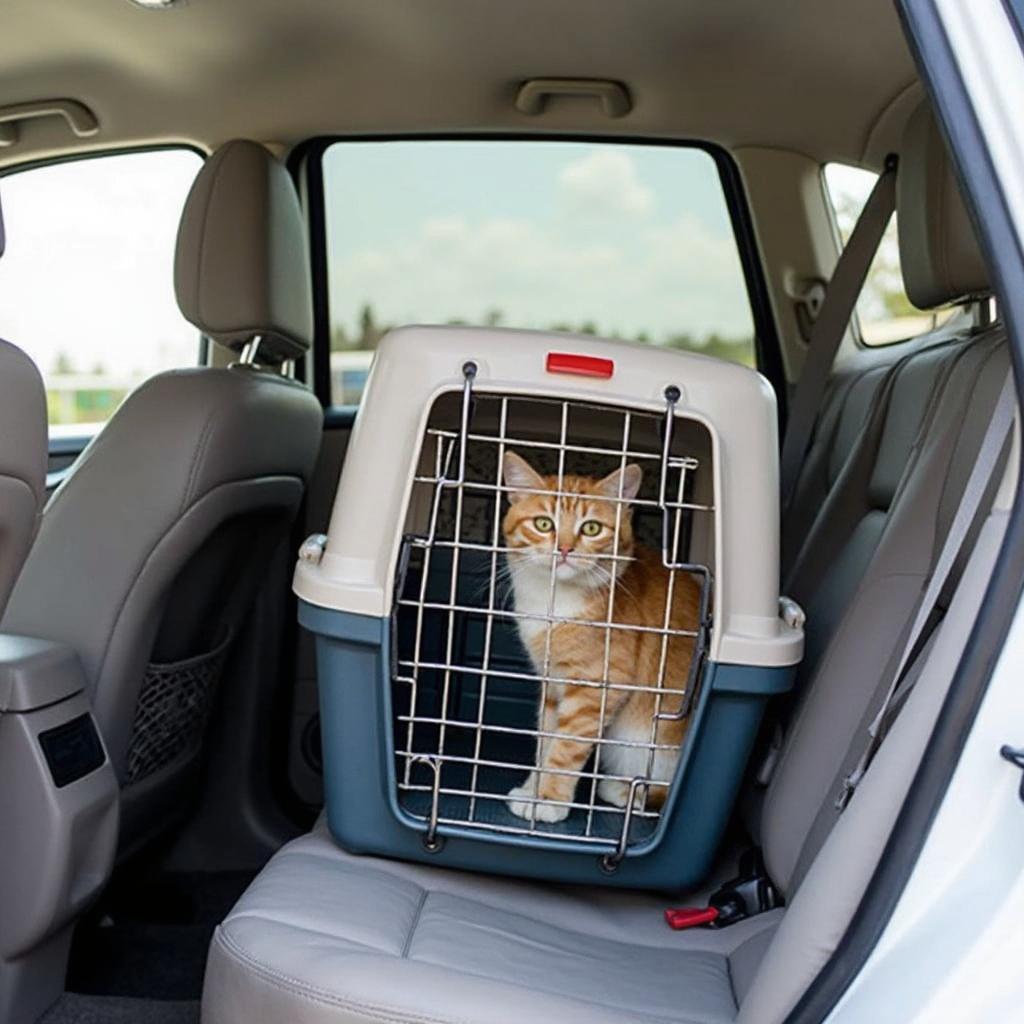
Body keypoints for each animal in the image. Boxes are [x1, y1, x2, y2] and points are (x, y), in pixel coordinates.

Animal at [497, 452, 704, 819]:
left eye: (591, 528)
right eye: (544, 524)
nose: (565, 549)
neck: (554, 601)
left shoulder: (595, 689)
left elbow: (565, 749)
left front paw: (547, 801)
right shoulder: (554, 685)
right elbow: (546, 741)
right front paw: (533, 789)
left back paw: (628, 791)